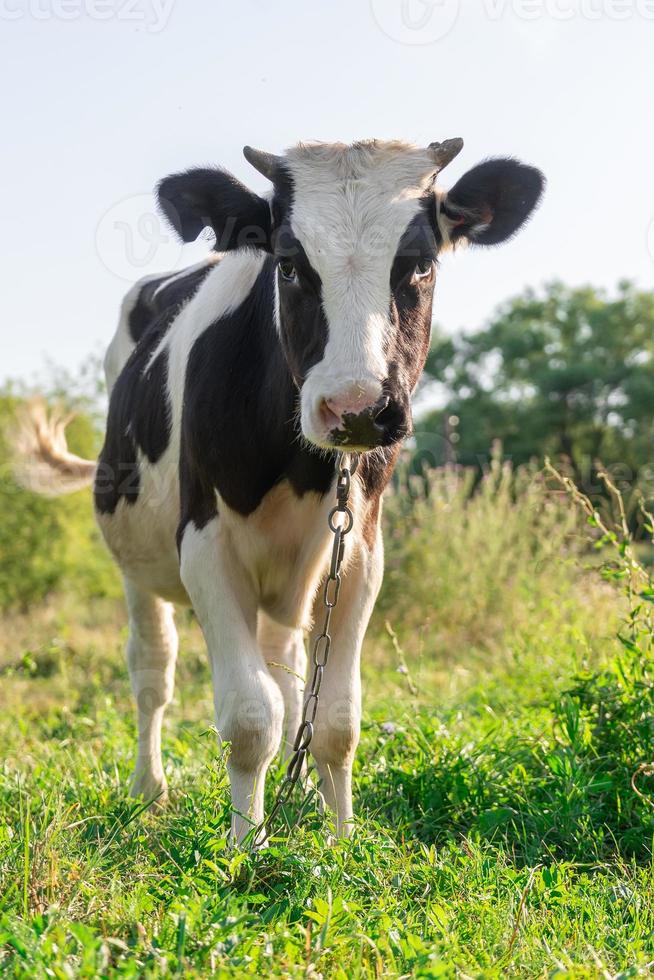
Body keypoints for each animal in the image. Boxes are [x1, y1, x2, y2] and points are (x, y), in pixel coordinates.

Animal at [24, 138, 544, 844]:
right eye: (291, 266)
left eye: (420, 264)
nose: (355, 410)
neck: (300, 464)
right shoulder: (204, 545)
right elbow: (250, 717)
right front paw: (246, 844)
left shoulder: (362, 550)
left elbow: (335, 719)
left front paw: (340, 839)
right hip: (136, 560)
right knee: (153, 671)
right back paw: (148, 790)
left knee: (288, 668)